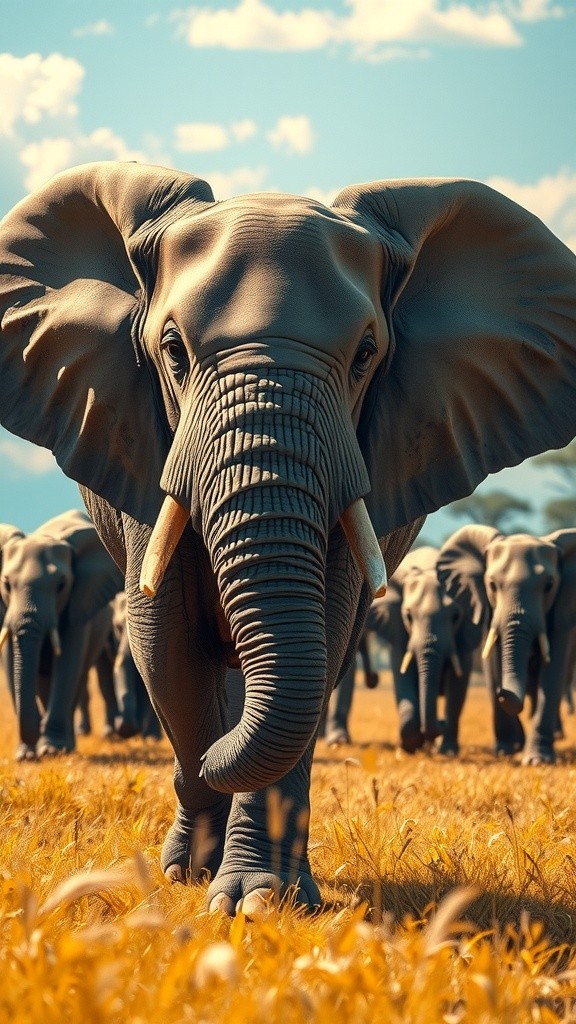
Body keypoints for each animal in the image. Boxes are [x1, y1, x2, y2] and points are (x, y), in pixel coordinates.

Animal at [0, 509, 124, 759]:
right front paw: (26, 756)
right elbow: (10, 662)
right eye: (6, 584)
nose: (36, 728)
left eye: (61, 585)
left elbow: (67, 661)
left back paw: (65, 745)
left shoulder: (81, 599)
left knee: (77, 676)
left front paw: (51, 750)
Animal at [366, 545, 482, 755]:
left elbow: (457, 683)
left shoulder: (464, 636)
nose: (441, 721)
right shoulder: (399, 632)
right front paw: (411, 745)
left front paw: (447, 751)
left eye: (455, 617)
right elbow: (403, 678)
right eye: (408, 616)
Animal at [437, 525, 576, 764]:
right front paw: (506, 750)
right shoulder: (487, 608)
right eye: (492, 585)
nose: (504, 692)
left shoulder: (563, 606)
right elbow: (493, 662)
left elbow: (553, 669)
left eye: (549, 586)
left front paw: (538, 761)